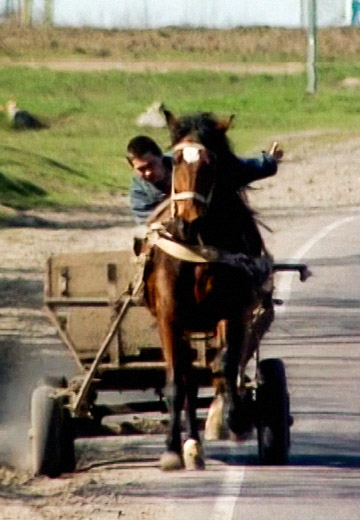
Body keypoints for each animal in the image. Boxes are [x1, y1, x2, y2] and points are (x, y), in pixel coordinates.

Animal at [143, 111, 272, 470]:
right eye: (174, 161)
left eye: (211, 162)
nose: (186, 223)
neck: (199, 248)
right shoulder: (170, 317)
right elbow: (176, 381)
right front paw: (171, 448)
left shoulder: (234, 312)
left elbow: (226, 366)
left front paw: (235, 421)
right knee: (187, 379)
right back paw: (190, 444)